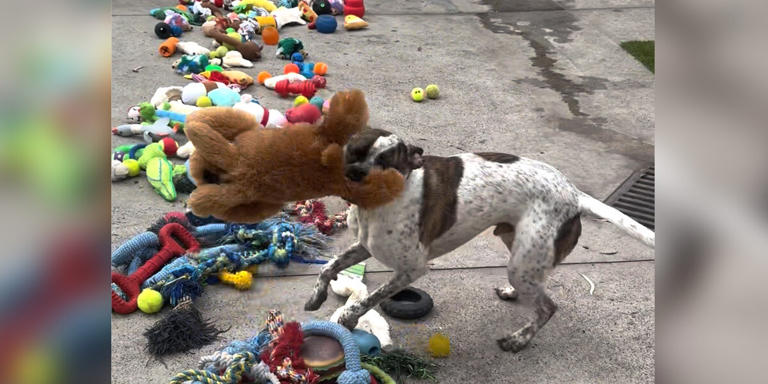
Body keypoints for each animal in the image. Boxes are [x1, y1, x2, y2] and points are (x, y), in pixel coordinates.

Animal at [304, 128, 656, 352]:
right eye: (355, 152)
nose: (355, 175)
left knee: (547, 307)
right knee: (536, 287)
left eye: (388, 163)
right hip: (518, 249)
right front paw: (317, 297)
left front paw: (349, 317)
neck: (375, 207)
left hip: (523, 261)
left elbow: (369, 299)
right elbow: (328, 267)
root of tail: (574, 194)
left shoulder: (411, 270)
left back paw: (519, 340)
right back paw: (513, 294)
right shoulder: (363, 246)